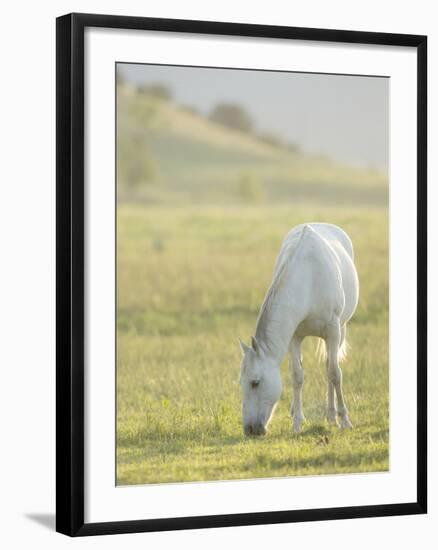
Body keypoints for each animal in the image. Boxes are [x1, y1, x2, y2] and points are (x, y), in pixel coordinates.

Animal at [240, 223, 360, 436]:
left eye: (255, 383)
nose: (250, 429)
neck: (308, 278)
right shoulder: (294, 337)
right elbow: (297, 376)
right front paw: (296, 422)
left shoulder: (333, 331)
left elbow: (335, 373)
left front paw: (344, 419)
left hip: (341, 329)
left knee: (330, 367)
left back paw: (332, 415)